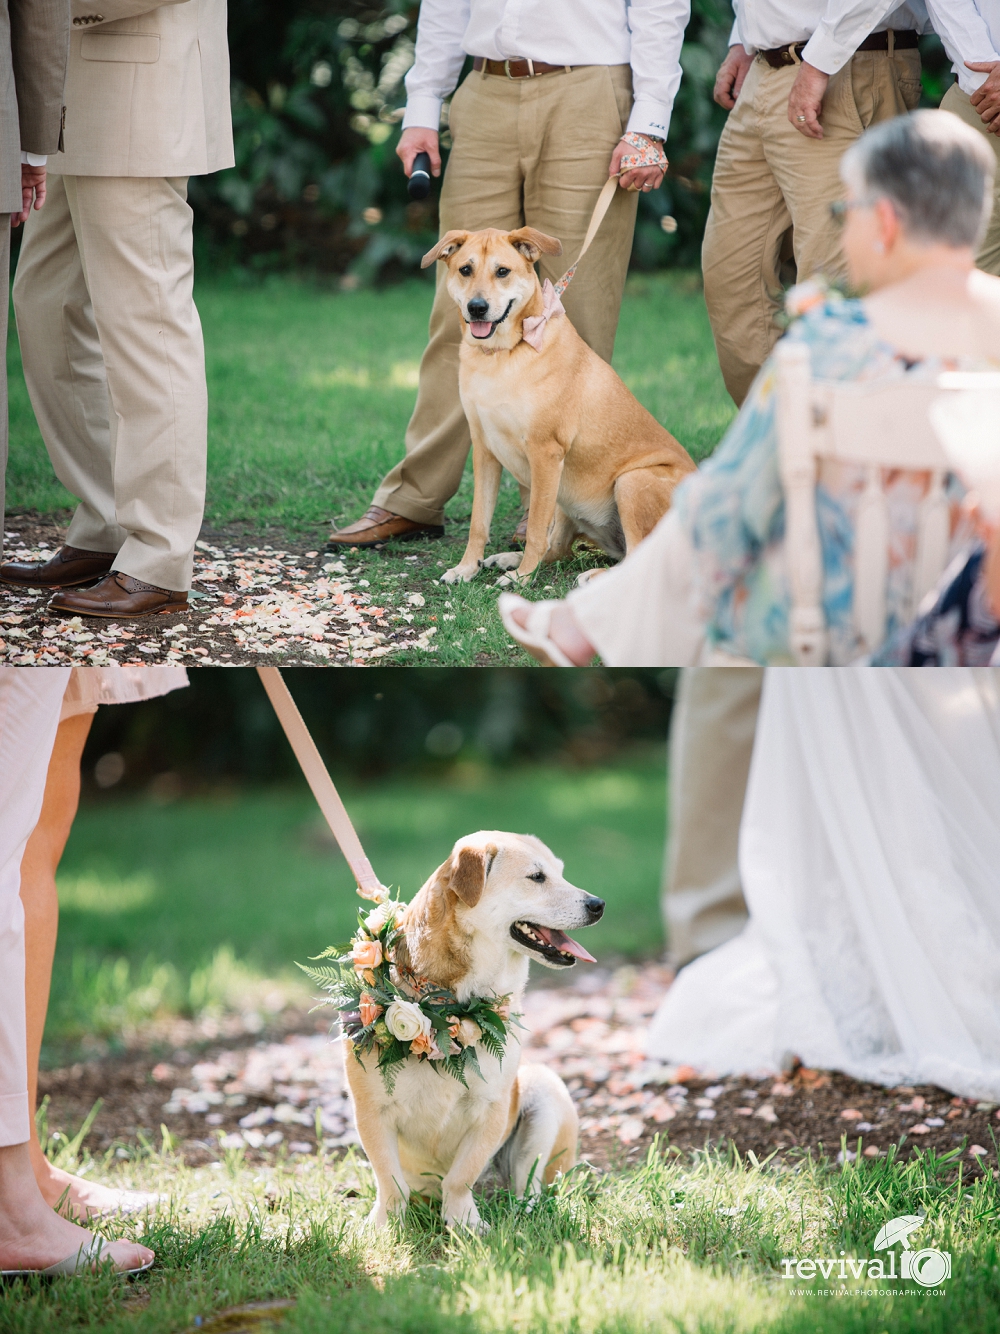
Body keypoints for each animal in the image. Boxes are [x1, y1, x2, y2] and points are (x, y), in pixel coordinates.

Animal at [349, 832, 602, 1227]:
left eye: (560, 872)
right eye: (537, 877)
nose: (598, 904)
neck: (449, 1007)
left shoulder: (491, 1109)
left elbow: (460, 1176)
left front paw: (463, 1223)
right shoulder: (371, 1112)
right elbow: (389, 1181)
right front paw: (383, 1227)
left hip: (543, 1089)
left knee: (528, 1181)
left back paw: (524, 1213)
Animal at [429, 226, 698, 586]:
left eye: (502, 271)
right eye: (465, 269)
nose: (477, 308)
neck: (503, 355)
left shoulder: (545, 452)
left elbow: (535, 531)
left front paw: (522, 578)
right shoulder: (484, 450)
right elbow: (479, 522)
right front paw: (466, 568)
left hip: (631, 481)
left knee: (638, 558)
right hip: (567, 497)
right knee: (559, 548)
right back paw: (508, 558)